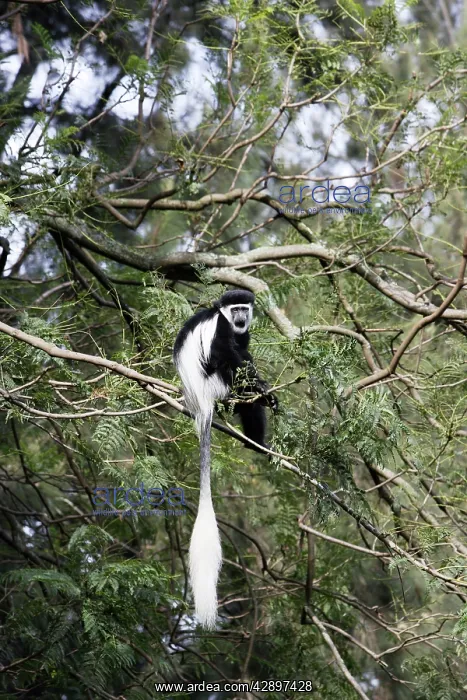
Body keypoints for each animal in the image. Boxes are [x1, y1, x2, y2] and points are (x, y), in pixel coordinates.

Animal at [173, 289, 278, 628]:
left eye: (245, 308)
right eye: (235, 309)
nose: (241, 317)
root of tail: (201, 401)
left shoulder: (243, 332)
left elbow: (244, 348)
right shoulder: (220, 327)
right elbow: (226, 350)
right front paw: (264, 387)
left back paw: (257, 444)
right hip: (217, 382)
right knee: (233, 368)